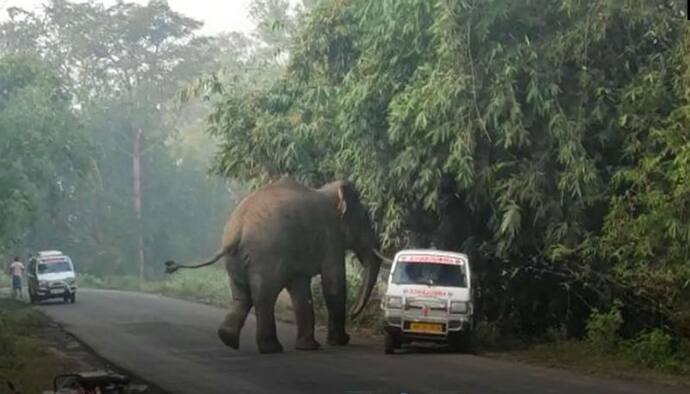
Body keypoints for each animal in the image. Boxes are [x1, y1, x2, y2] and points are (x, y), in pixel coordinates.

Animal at [163, 177, 388, 356]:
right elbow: (334, 285)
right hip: (267, 257)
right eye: (366, 217)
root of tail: (236, 232)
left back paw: (228, 339)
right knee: (264, 297)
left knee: (242, 296)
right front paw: (339, 342)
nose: (353, 314)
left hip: (236, 262)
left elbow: (300, 290)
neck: (327, 191)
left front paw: (310, 347)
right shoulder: (330, 238)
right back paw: (271, 349)